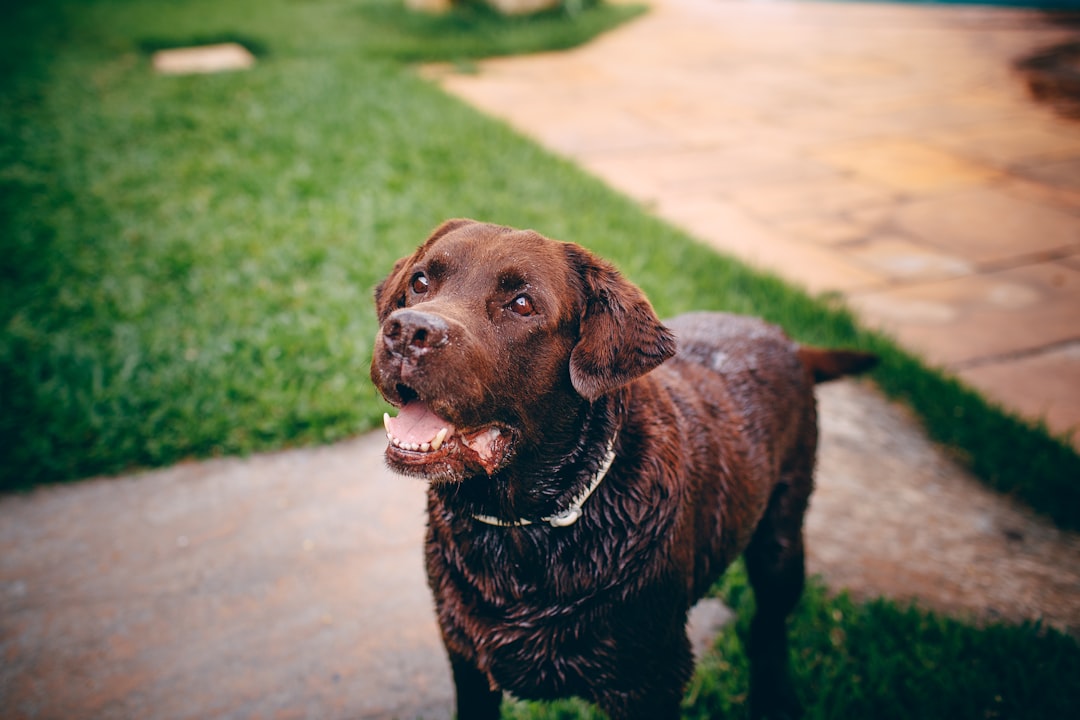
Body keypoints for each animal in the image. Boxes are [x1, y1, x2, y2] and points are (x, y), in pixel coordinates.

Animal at [371, 220, 876, 720]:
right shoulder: (466, 657)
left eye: (522, 304)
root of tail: (783, 337)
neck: (523, 532)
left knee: (769, 629)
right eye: (420, 281)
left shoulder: (650, 681)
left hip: (781, 542)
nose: (407, 331)